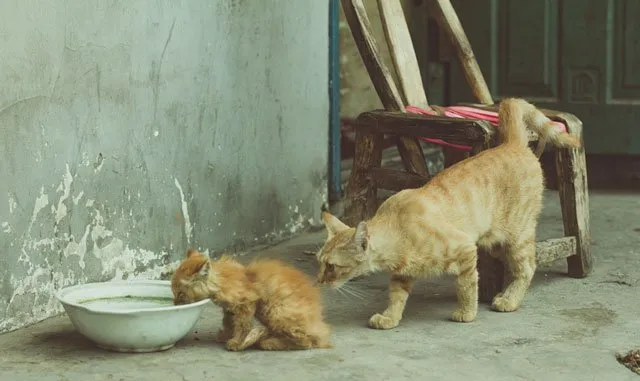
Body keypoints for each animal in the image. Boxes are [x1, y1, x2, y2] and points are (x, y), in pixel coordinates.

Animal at [171, 249, 330, 350]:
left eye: (180, 294)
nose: (174, 303)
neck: (222, 281)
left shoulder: (246, 303)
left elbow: (242, 326)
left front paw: (236, 342)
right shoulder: (229, 310)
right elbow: (228, 323)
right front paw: (227, 335)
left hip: (274, 311)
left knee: (306, 342)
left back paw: (269, 342)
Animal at [316, 97, 580, 326]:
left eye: (331, 266)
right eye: (320, 263)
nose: (318, 281)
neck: (397, 231)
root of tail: (511, 143)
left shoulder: (466, 249)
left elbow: (466, 286)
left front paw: (466, 313)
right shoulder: (401, 275)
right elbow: (396, 297)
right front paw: (389, 318)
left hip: (517, 236)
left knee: (527, 267)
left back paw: (509, 299)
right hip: (496, 243)